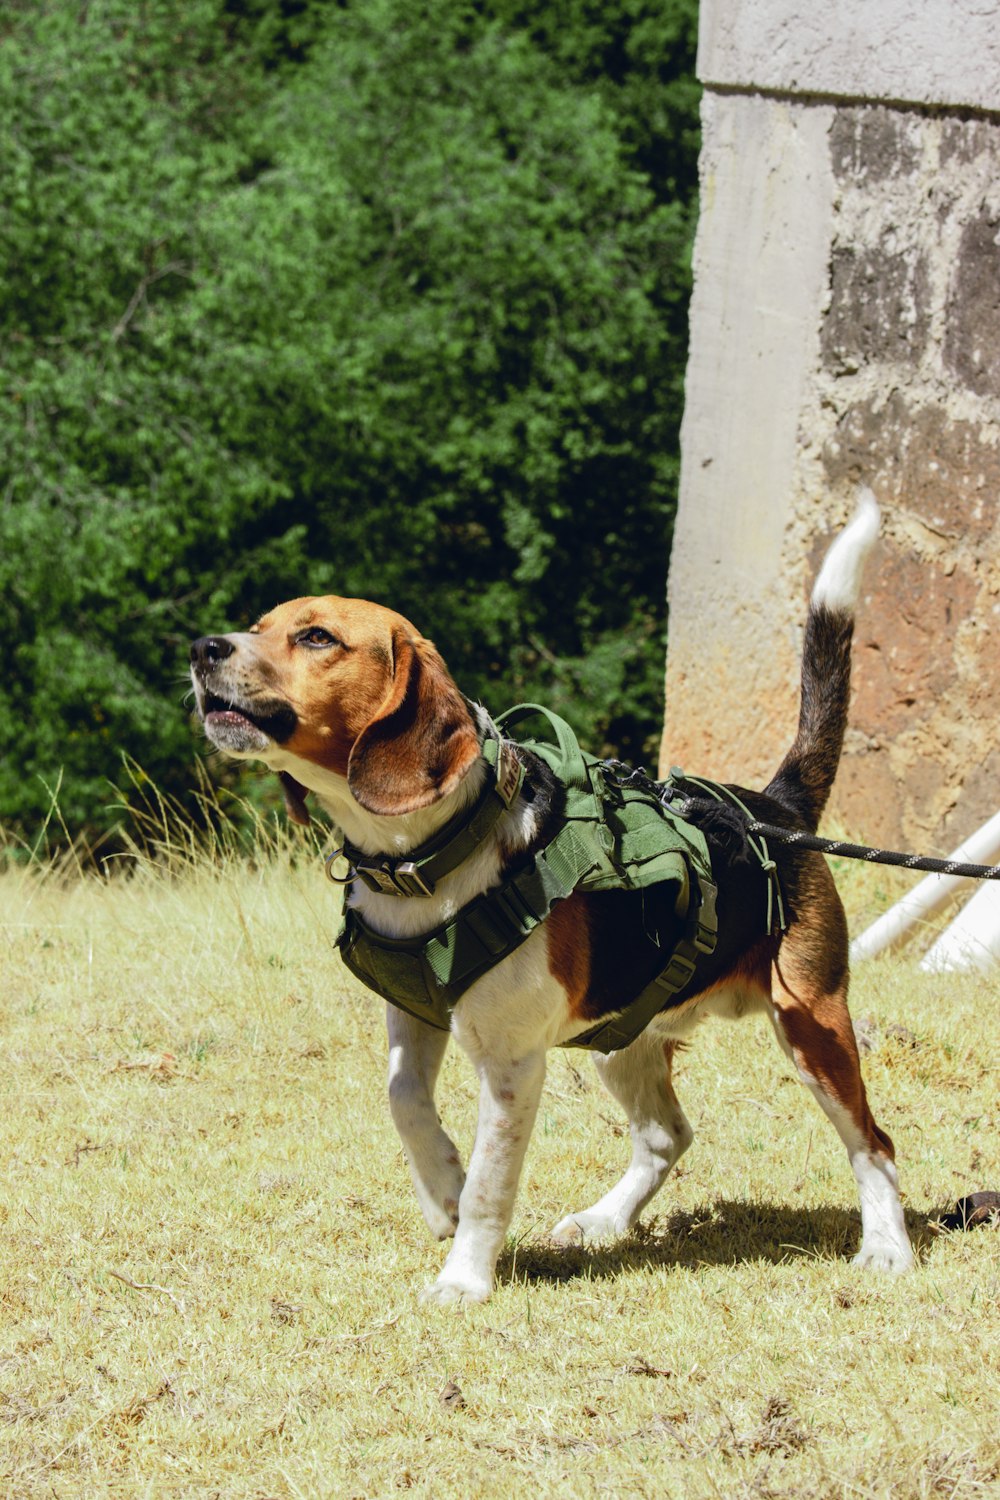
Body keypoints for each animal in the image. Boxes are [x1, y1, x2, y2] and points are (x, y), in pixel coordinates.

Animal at [189, 498, 917, 1308]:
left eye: (317, 637)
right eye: (259, 624)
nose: (202, 647)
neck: (428, 852)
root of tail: (775, 808)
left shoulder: (510, 1063)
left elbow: (491, 1184)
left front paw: (464, 1279)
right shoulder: (415, 1016)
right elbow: (403, 1099)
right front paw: (442, 1191)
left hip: (811, 1022)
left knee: (874, 1143)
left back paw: (887, 1249)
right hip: (620, 1036)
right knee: (666, 1136)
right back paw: (604, 1221)